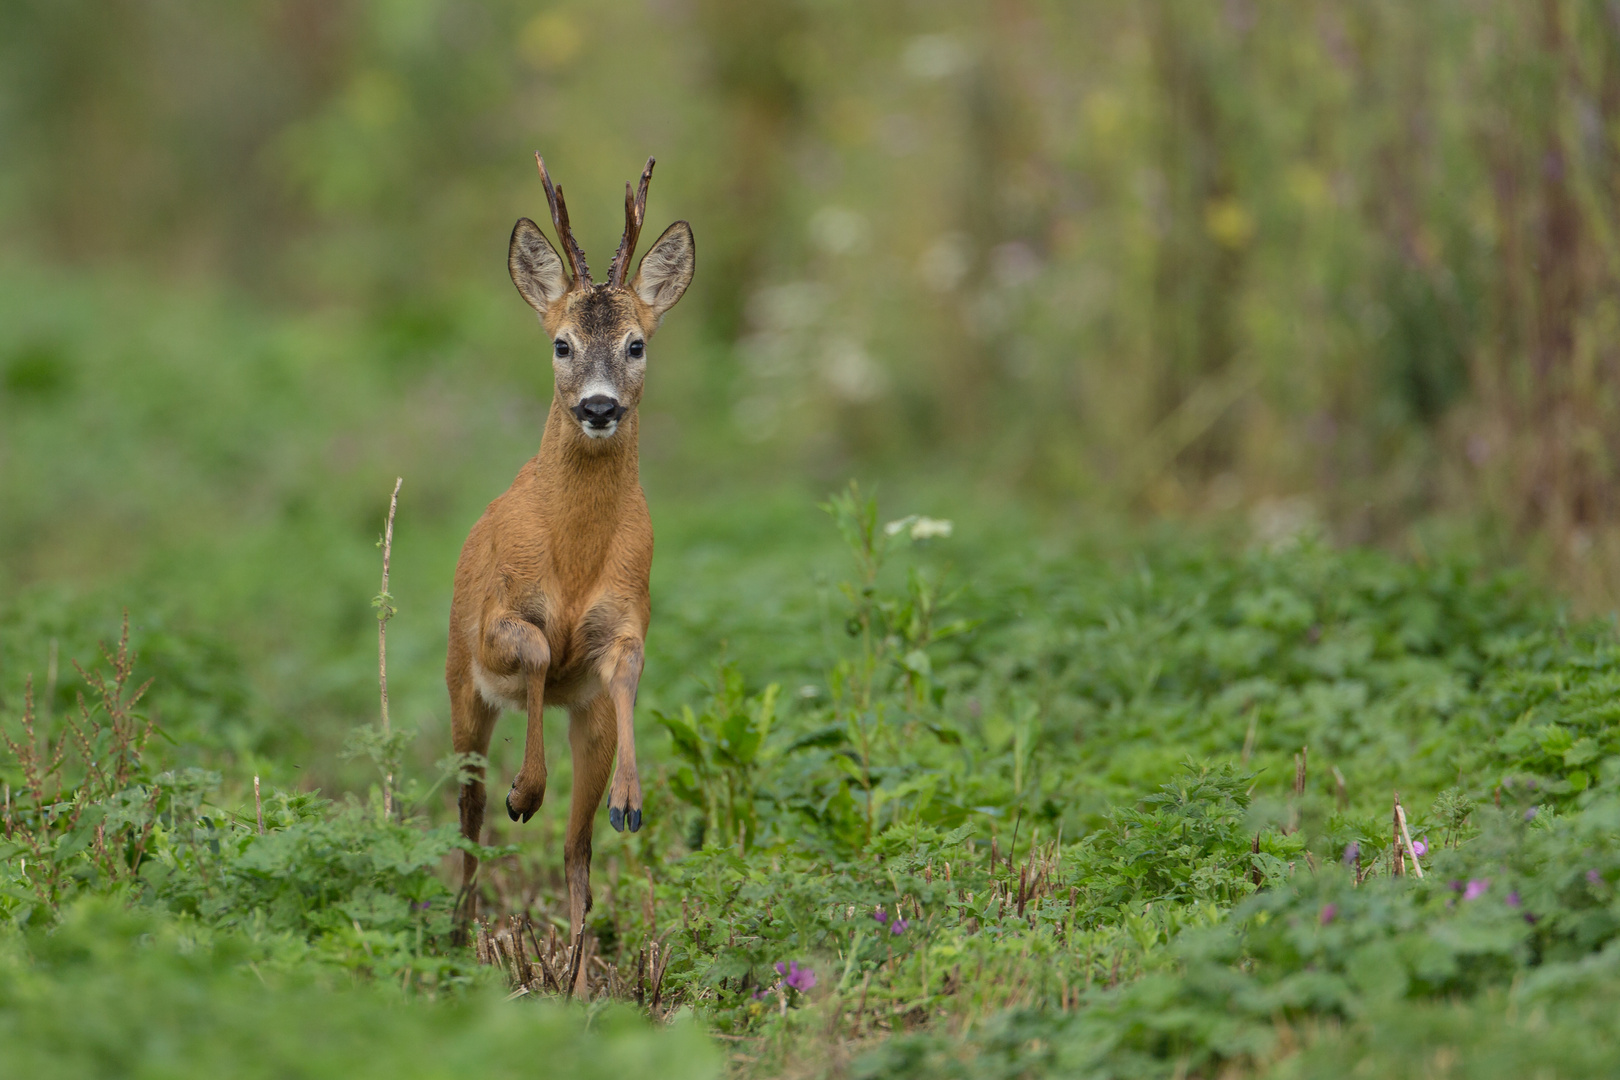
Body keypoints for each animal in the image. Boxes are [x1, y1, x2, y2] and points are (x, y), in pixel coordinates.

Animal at [447, 152, 693, 990]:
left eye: (637, 343)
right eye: (560, 343)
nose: (597, 407)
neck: (574, 555)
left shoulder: (625, 618)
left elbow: (624, 670)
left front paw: (631, 799)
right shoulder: (495, 622)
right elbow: (531, 645)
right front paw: (527, 789)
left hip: (580, 724)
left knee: (576, 848)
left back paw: (579, 976)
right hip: (459, 689)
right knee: (469, 815)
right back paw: (458, 936)